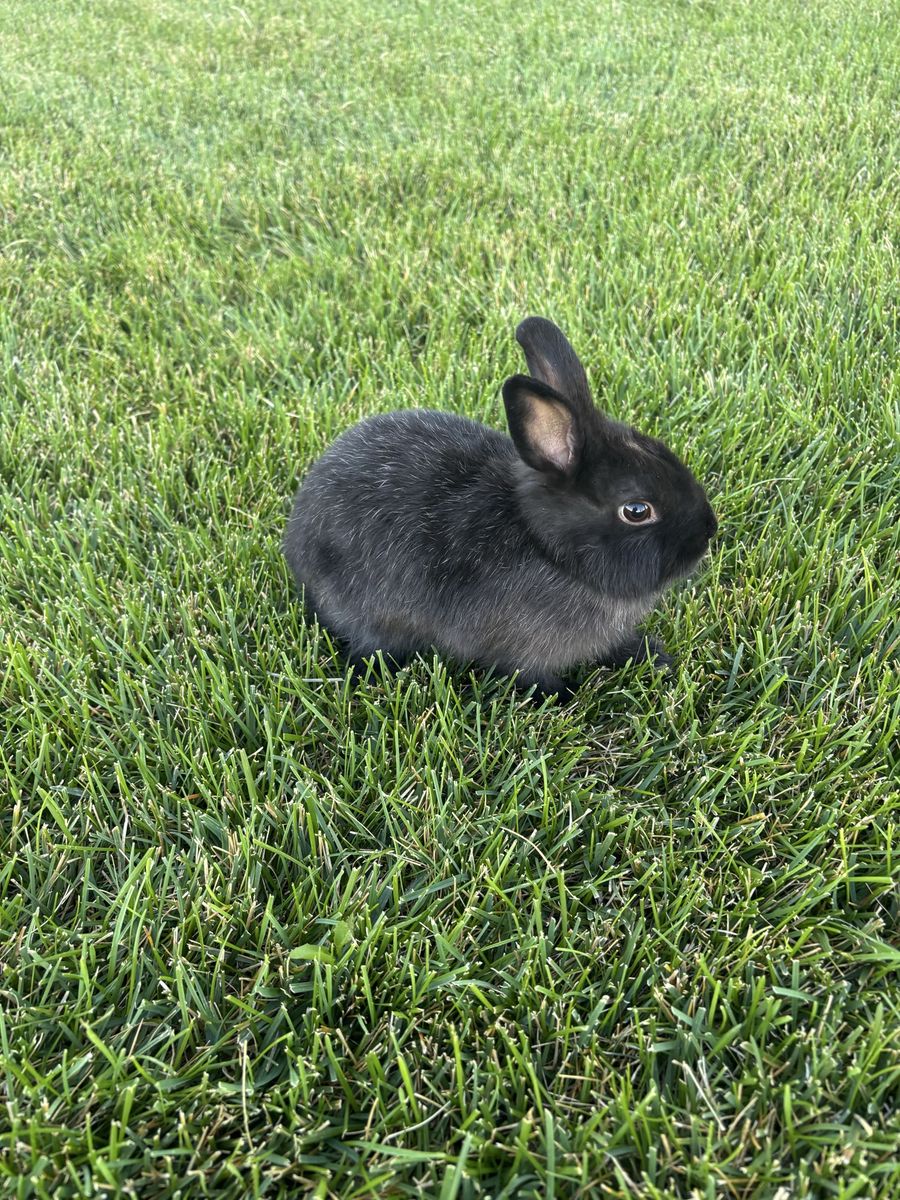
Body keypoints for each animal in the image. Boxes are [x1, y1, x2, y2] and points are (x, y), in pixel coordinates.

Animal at [283, 316, 717, 697]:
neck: (548, 549)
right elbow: (530, 675)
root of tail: (297, 540)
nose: (708, 532)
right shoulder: (523, 652)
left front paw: (650, 656)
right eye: (637, 511)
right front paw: (563, 697)